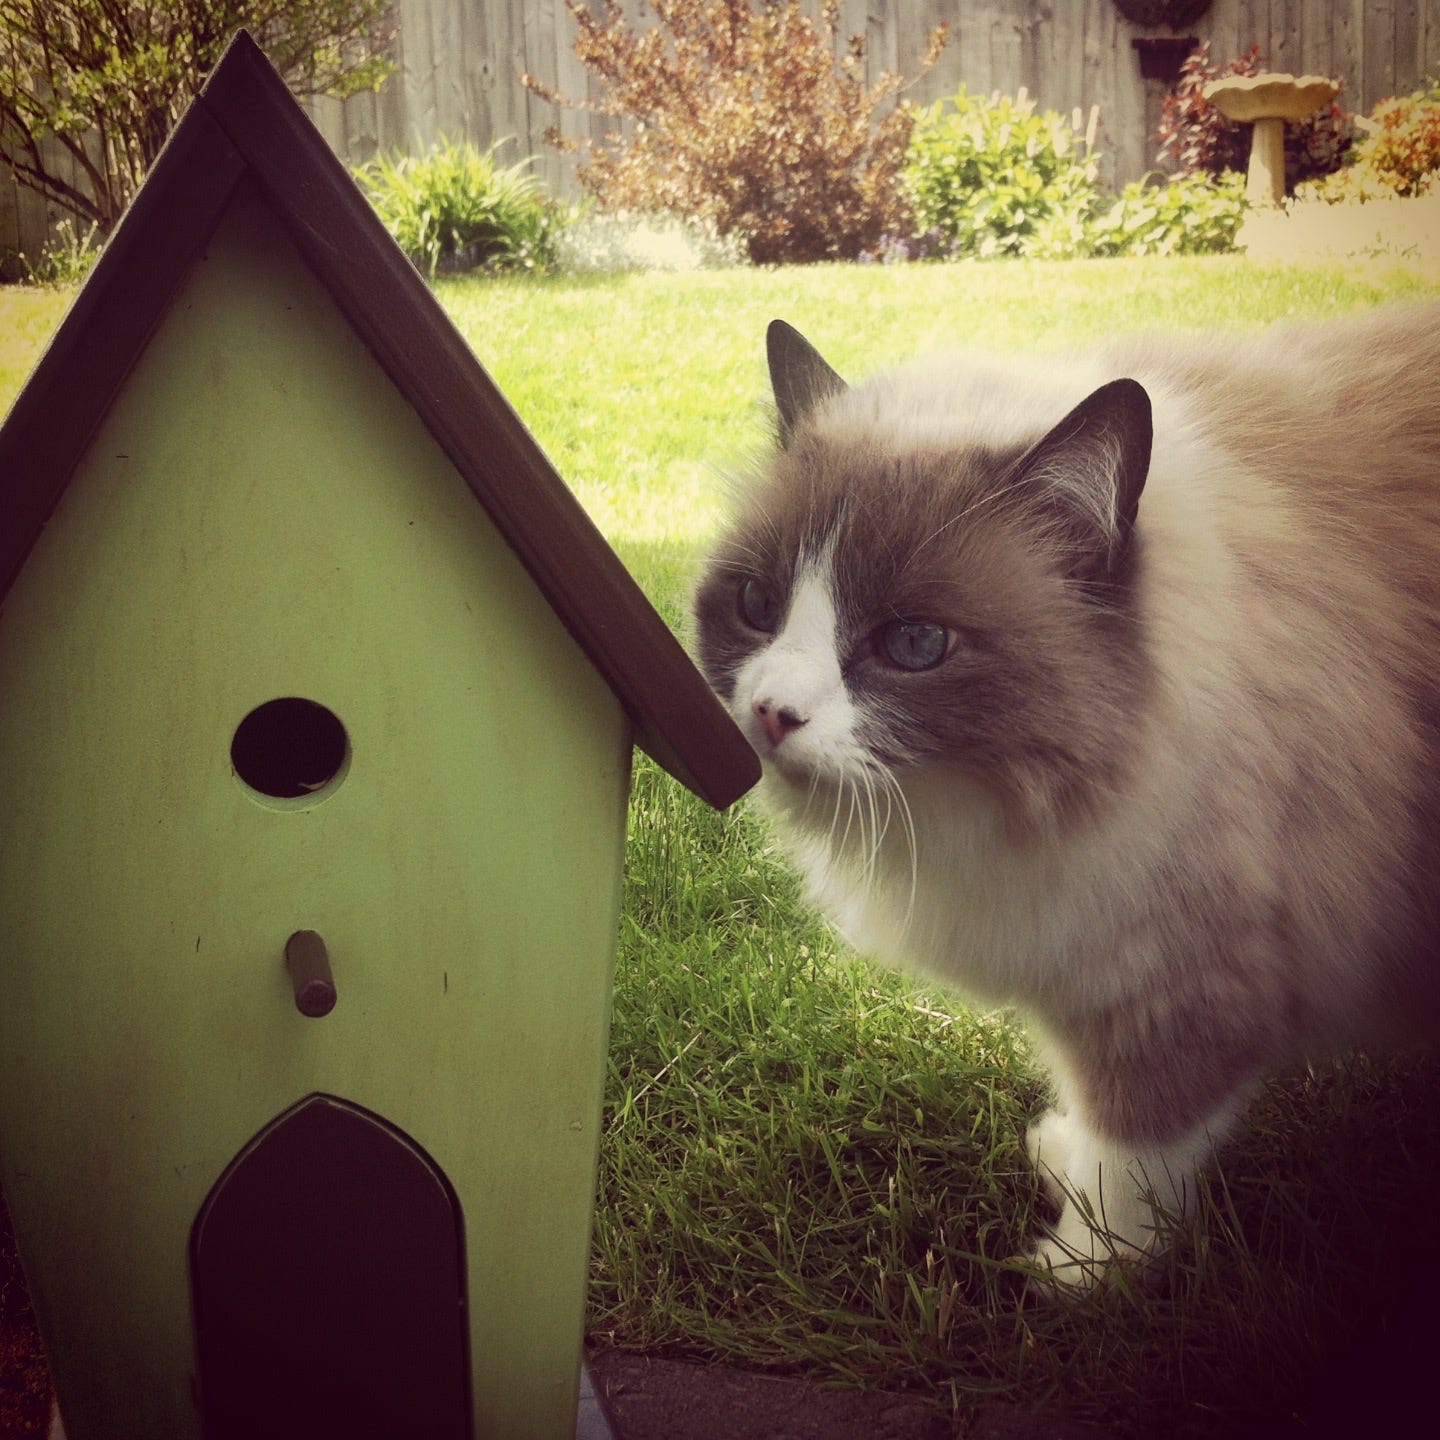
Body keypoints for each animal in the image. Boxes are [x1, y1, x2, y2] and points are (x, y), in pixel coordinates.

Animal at [692, 305, 1440, 1286]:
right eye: (756, 605)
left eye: (916, 645)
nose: (771, 712)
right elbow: (1091, 1122)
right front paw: (1062, 1166)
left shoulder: (1176, 992)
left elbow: (1134, 1154)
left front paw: (1084, 1273)